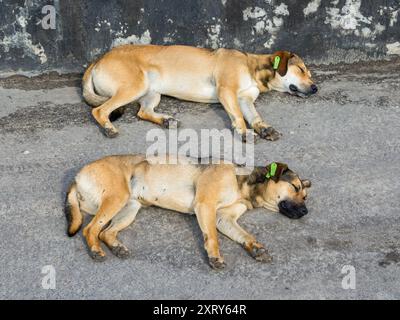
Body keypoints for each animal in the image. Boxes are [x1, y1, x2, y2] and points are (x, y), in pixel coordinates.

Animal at [65, 154, 310, 268]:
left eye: (304, 195)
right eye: (295, 187)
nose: (306, 211)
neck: (243, 184)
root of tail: (77, 177)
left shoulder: (224, 219)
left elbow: (245, 235)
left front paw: (256, 247)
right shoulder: (205, 205)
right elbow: (212, 237)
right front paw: (215, 257)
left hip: (130, 207)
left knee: (106, 232)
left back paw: (116, 247)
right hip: (117, 197)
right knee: (90, 229)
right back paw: (95, 250)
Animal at [82, 44, 318, 141]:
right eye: (301, 69)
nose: (315, 88)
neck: (252, 66)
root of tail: (98, 59)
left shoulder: (244, 99)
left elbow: (255, 116)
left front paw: (264, 128)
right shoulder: (227, 91)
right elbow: (239, 117)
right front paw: (243, 132)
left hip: (152, 92)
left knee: (142, 112)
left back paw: (166, 120)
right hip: (135, 85)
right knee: (99, 111)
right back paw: (108, 128)